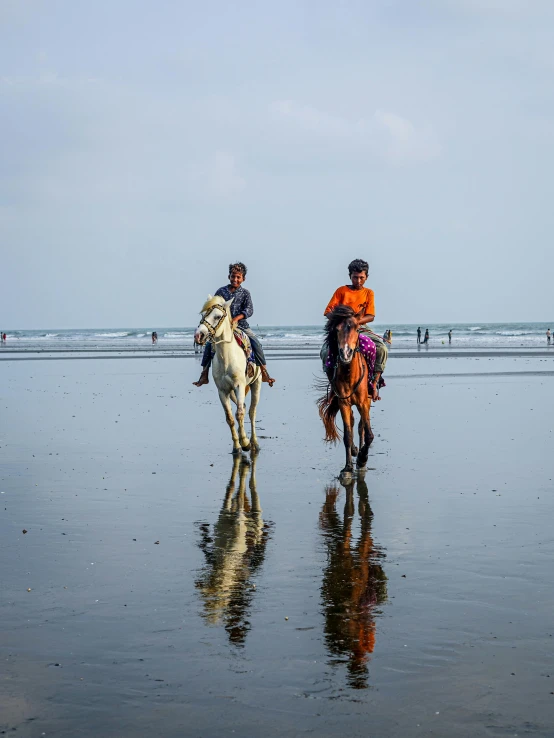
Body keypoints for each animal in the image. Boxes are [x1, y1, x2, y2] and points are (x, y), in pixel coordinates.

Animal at [193, 296, 262, 452]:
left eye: (217, 316)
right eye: (203, 315)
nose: (198, 335)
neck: (227, 357)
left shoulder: (239, 386)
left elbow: (240, 414)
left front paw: (245, 443)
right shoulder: (223, 390)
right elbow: (230, 418)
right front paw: (237, 446)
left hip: (256, 384)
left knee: (252, 412)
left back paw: (254, 442)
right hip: (233, 392)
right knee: (243, 408)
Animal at [316, 304, 374, 472]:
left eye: (357, 328)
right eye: (336, 329)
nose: (346, 352)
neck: (349, 375)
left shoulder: (363, 403)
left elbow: (368, 434)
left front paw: (362, 459)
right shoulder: (343, 403)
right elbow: (347, 435)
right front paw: (348, 466)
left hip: (368, 400)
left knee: (361, 427)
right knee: (354, 422)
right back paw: (355, 450)